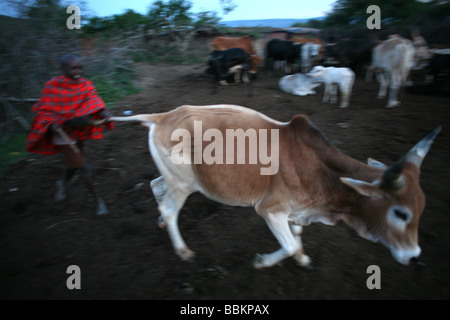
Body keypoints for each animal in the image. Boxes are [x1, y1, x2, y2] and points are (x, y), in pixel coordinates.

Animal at [110, 105, 442, 268]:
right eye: (400, 213)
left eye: (421, 209)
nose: (414, 256)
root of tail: (162, 116)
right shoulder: (269, 209)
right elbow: (289, 244)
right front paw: (263, 261)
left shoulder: (297, 211)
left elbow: (296, 237)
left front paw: (303, 258)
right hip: (182, 184)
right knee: (170, 208)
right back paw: (182, 250)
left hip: (176, 180)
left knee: (156, 187)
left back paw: (161, 222)